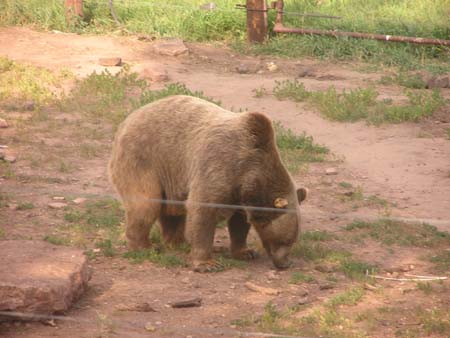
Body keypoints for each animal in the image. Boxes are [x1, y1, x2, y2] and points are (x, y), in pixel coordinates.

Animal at [108, 95, 306, 272]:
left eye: (293, 240)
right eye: (286, 240)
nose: (286, 263)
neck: (248, 173)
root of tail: (125, 121)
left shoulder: (239, 194)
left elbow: (239, 223)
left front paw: (245, 252)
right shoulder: (219, 166)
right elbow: (202, 210)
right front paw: (206, 263)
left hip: (172, 177)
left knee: (172, 210)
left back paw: (179, 242)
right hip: (144, 159)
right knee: (146, 205)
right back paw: (144, 247)